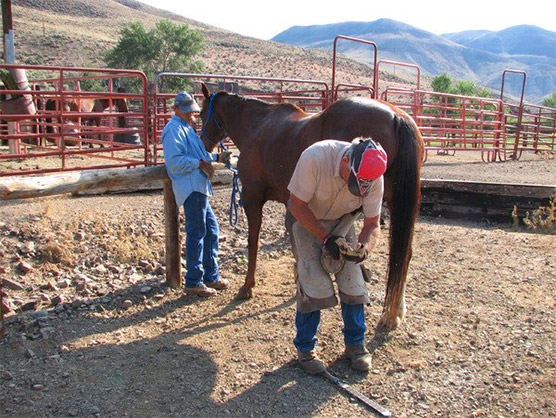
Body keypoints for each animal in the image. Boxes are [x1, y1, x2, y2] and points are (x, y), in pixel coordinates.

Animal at [200, 82, 426, 330]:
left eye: (201, 115)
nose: (202, 145)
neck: (257, 126)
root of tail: (397, 116)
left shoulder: (252, 197)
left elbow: (253, 242)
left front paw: (247, 286)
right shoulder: (292, 200)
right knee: (403, 254)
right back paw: (394, 314)